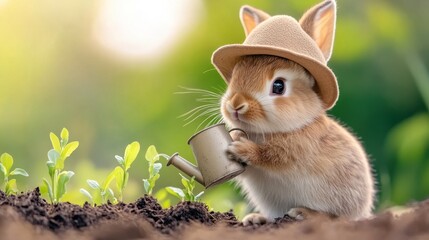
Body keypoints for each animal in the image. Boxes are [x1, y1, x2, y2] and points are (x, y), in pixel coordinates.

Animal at [214, 0, 374, 226]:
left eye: (279, 86)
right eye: (235, 75)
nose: (236, 104)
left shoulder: (297, 149)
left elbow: (272, 157)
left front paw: (241, 148)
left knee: (335, 218)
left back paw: (303, 213)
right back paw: (256, 219)